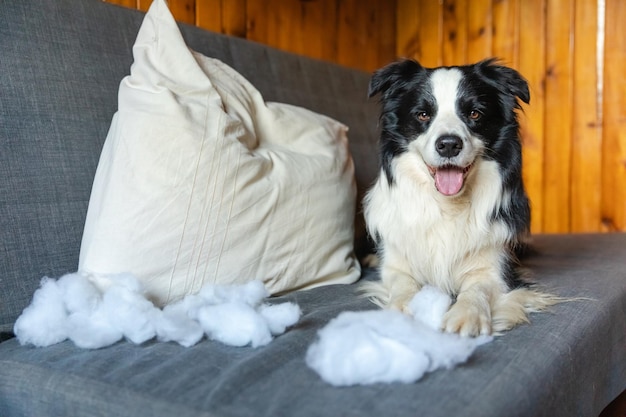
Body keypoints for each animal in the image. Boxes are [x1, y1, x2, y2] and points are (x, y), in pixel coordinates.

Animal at [364, 58, 552, 336]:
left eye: (474, 113)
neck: (447, 205)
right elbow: (403, 284)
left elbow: (477, 289)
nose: (449, 145)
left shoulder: (493, 266)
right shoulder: (396, 263)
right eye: (423, 114)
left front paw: (467, 316)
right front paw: (401, 309)